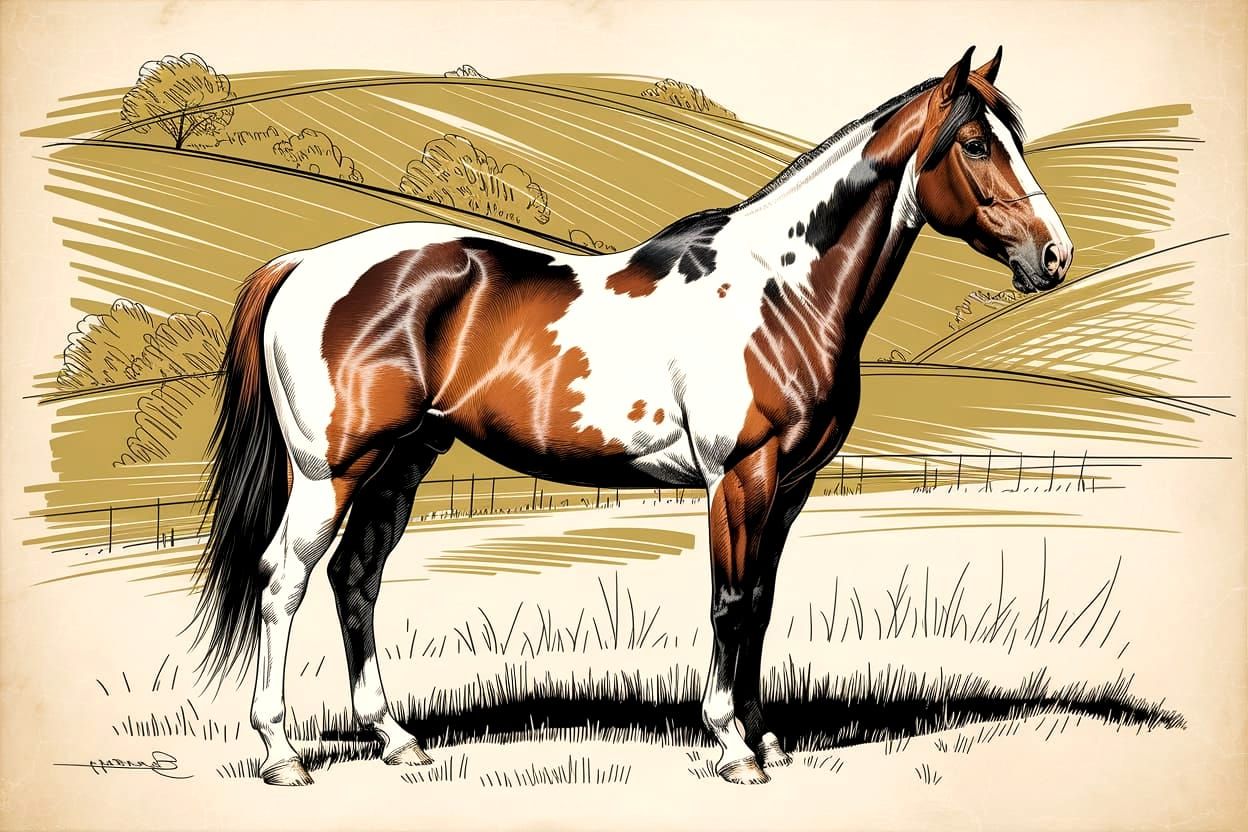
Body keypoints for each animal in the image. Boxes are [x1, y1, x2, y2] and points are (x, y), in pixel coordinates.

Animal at [192, 46, 1073, 786]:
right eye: (976, 144)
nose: (1055, 255)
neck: (780, 289)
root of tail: (304, 264)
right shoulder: (738, 475)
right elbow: (729, 601)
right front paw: (732, 746)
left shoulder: (788, 486)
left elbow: (761, 604)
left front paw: (768, 738)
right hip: (330, 471)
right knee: (284, 581)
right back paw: (281, 755)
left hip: (401, 462)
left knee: (355, 579)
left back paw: (397, 739)